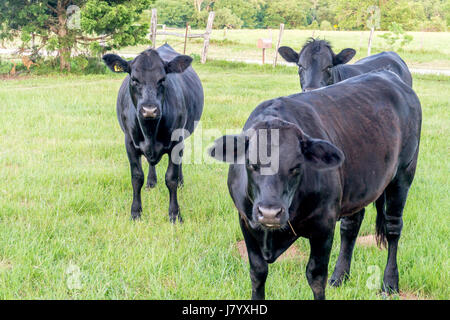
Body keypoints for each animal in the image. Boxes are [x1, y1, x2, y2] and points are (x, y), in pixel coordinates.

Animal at [103, 43, 203, 222]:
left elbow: (171, 178)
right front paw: (136, 212)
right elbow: (136, 177)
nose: (149, 109)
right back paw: (151, 182)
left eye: (162, 79)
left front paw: (175, 214)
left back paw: (181, 182)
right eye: (134, 79)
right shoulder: (129, 143)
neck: (150, 131)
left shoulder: (177, 142)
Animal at [209, 70, 420, 300]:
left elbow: (316, 276)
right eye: (251, 164)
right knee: (351, 226)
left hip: (403, 176)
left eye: (296, 166)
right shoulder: (246, 222)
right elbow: (257, 272)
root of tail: (387, 74)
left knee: (393, 228)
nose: (270, 213)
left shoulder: (324, 225)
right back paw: (340, 276)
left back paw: (389, 283)